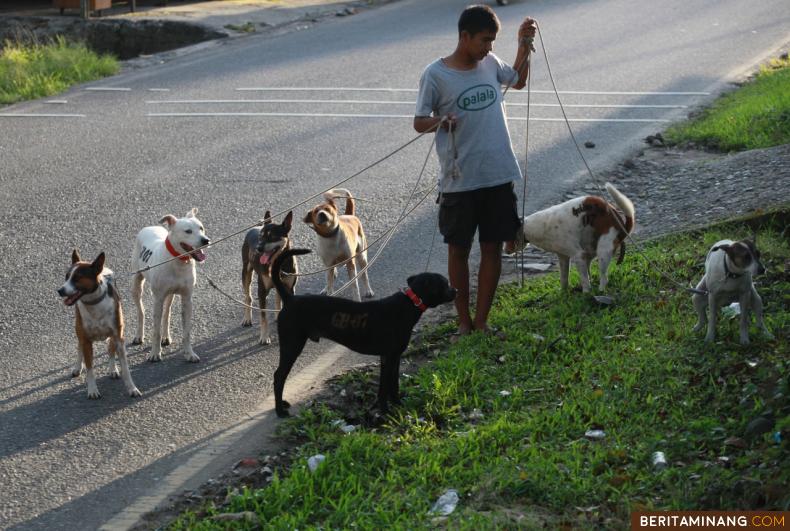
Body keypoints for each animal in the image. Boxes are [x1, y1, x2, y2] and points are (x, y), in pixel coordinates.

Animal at [58, 252, 142, 400]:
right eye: (66, 277)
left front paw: (132, 388)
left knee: (110, 348)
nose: (60, 290)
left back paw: (113, 369)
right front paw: (92, 390)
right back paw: (77, 367)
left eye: (77, 278)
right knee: (79, 346)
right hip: (79, 330)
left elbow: (125, 368)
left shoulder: (119, 336)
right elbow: (90, 368)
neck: (94, 303)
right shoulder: (86, 340)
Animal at [131, 208, 210, 362]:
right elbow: (155, 331)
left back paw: (166, 337)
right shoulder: (158, 300)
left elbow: (186, 331)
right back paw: (139, 335)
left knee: (167, 313)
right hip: (136, 284)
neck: (179, 261)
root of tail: (149, 227)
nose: (206, 240)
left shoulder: (187, 299)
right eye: (188, 231)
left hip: (170, 295)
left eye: (201, 228)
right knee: (141, 311)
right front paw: (155, 353)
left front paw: (189, 353)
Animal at [240, 210, 298, 348]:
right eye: (261, 237)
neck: (278, 264)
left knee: (277, 298)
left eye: (272, 237)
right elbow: (263, 317)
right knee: (248, 296)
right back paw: (247, 318)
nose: (258, 249)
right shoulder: (262, 292)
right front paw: (264, 337)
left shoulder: (290, 288)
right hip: (246, 272)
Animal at [274, 247, 454, 418]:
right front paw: (386, 412)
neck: (409, 304)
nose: (456, 290)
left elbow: (391, 385)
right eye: (445, 284)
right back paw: (279, 411)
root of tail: (290, 299)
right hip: (292, 345)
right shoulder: (389, 357)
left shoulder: (392, 357)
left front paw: (396, 404)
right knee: (278, 376)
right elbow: (386, 387)